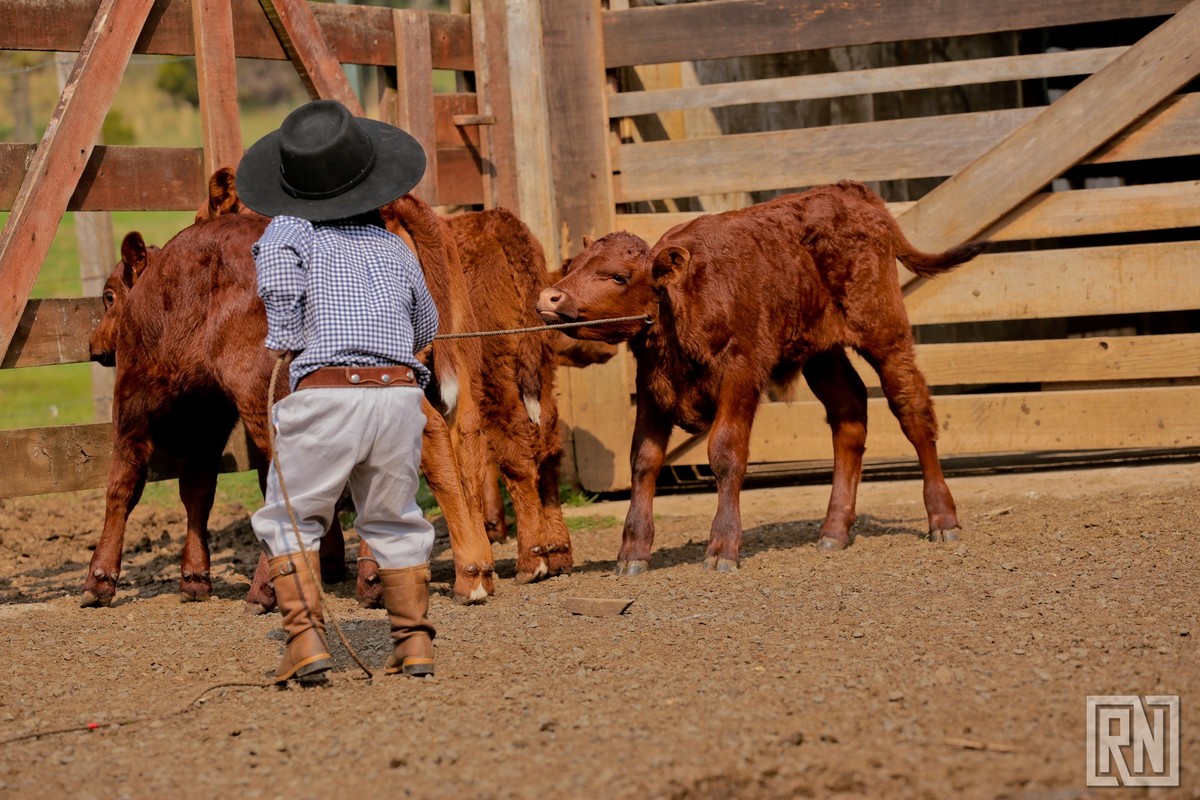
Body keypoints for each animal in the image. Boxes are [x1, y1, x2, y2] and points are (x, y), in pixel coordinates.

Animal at [536, 180, 983, 574]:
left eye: (618, 276)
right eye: (571, 267)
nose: (549, 297)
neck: (686, 305)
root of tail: (850, 191)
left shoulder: (741, 374)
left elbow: (725, 452)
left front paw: (722, 547)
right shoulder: (652, 386)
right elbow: (644, 461)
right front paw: (633, 552)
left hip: (885, 332)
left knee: (912, 410)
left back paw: (943, 519)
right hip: (821, 352)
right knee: (849, 414)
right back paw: (834, 530)